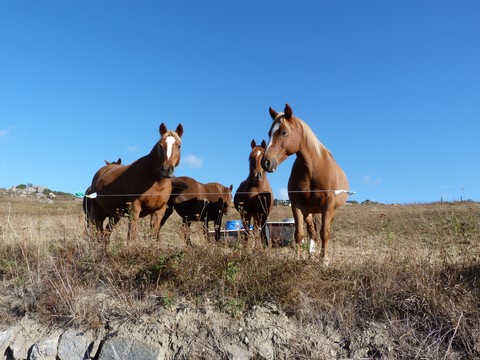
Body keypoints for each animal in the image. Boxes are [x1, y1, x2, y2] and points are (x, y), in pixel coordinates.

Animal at [262, 102, 348, 262]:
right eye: (269, 133)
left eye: (283, 132)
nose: (266, 162)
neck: (313, 169)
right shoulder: (297, 205)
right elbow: (299, 234)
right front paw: (299, 259)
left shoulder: (328, 206)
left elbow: (325, 233)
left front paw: (324, 260)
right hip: (308, 212)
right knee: (312, 231)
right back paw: (311, 253)